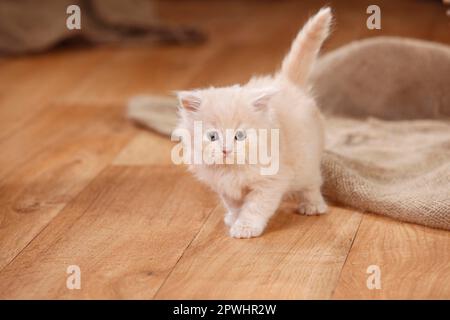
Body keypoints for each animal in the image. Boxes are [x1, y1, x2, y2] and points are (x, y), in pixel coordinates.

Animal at [178, 6, 332, 238]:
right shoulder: (225, 188)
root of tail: (286, 82)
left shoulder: (271, 181)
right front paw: (234, 218)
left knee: (312, 184)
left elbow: (255, 207)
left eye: (239, 136)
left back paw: (313, 206)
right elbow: (234, 204)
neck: (231, 170)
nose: (225, 149)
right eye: (212, 136)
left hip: (307, 161)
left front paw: (245, 227)